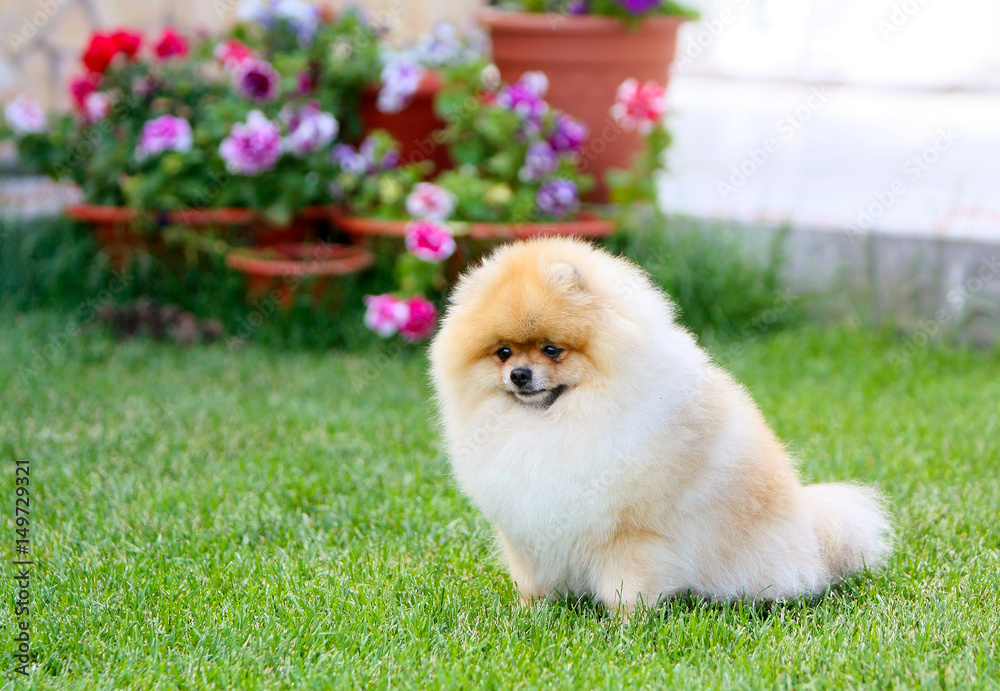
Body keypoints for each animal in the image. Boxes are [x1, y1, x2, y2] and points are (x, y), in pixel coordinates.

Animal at [428, 238, 892, 616]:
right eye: (503, 352)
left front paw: (625, 624)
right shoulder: (526, 528)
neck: (558, 422)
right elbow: (532, 581)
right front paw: (531, 612)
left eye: (552, 350)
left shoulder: (629, 534)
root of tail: (814, 538)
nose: (519, 375)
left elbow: (627, 585)